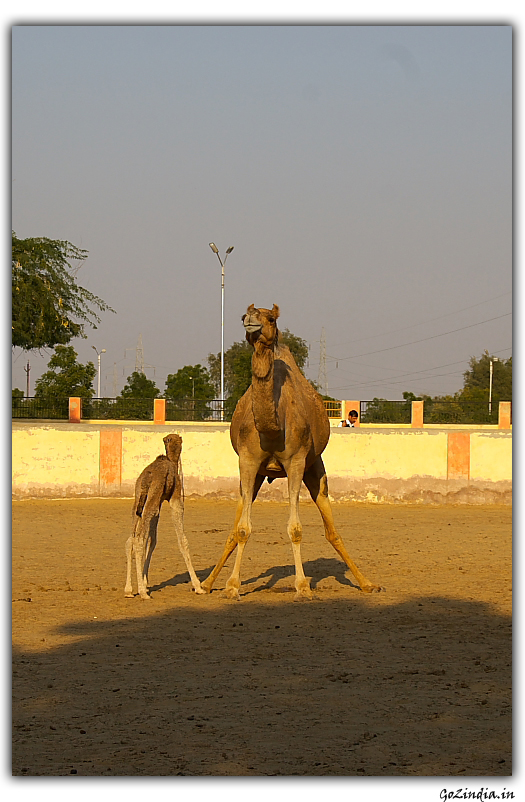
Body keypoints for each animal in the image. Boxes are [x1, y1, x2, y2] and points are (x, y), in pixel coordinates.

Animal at [124, 433, 204, 599]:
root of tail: (146, 479)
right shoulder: (175, 498)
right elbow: (182, 540)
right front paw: (198, 586)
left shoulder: (158, 504)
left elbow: (152, 540)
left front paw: (145, 581)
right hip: (150, 501)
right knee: (138, 539)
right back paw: (142, 593)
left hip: (139, 502)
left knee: (131, 539)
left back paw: (129, 590)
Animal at [201, 303, 382, 600]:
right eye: (243, 315)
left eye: (270, 318)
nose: (251, 320)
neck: (274, 429)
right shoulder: (248, 463)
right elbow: (242, 529)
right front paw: (231, 586)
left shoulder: (296, 462)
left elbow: (295, 529)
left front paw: (302, 586)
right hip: (257, 477)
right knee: (235, 526)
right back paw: (206, 583)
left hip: (315, 467)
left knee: (331, 529)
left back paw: (367, 583)